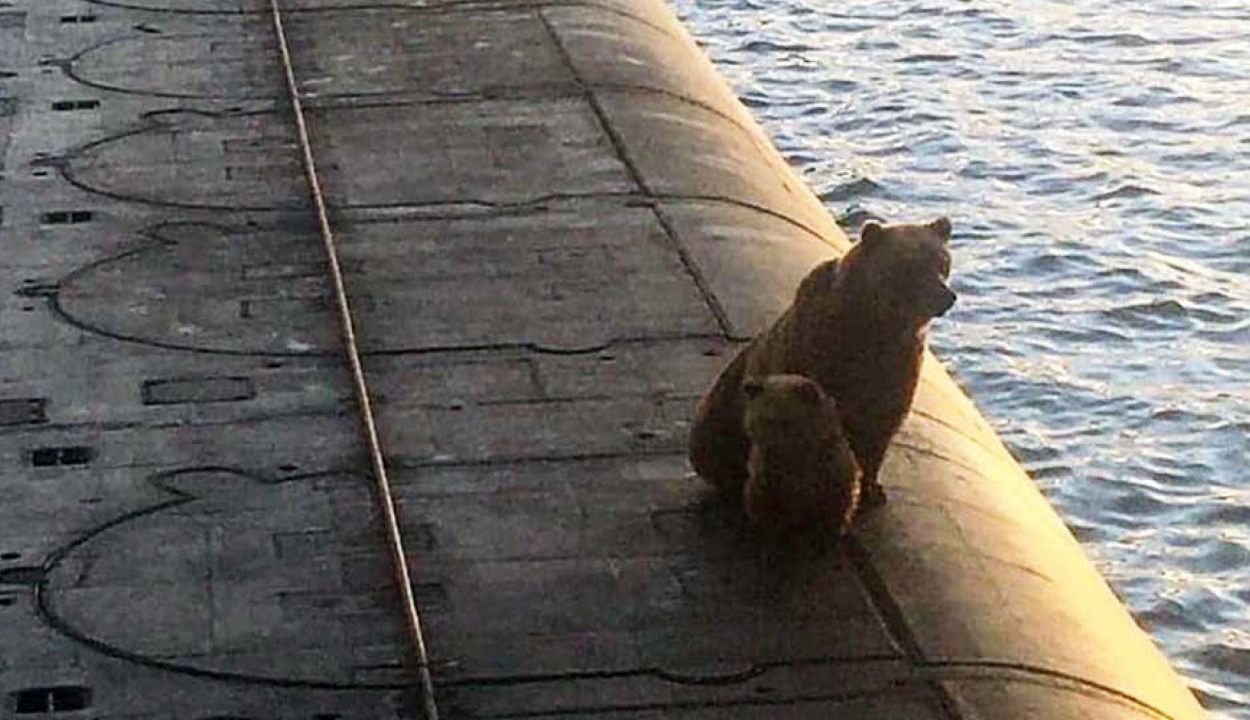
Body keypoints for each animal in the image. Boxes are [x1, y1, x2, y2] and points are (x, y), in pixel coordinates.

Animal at [690, 217, 950, 505]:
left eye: (943, 263)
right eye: (910, 265)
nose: (947, 297)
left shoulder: (897, 370)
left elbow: (880, 433)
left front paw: (872, 490)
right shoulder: (815, 353)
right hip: (718, 417)